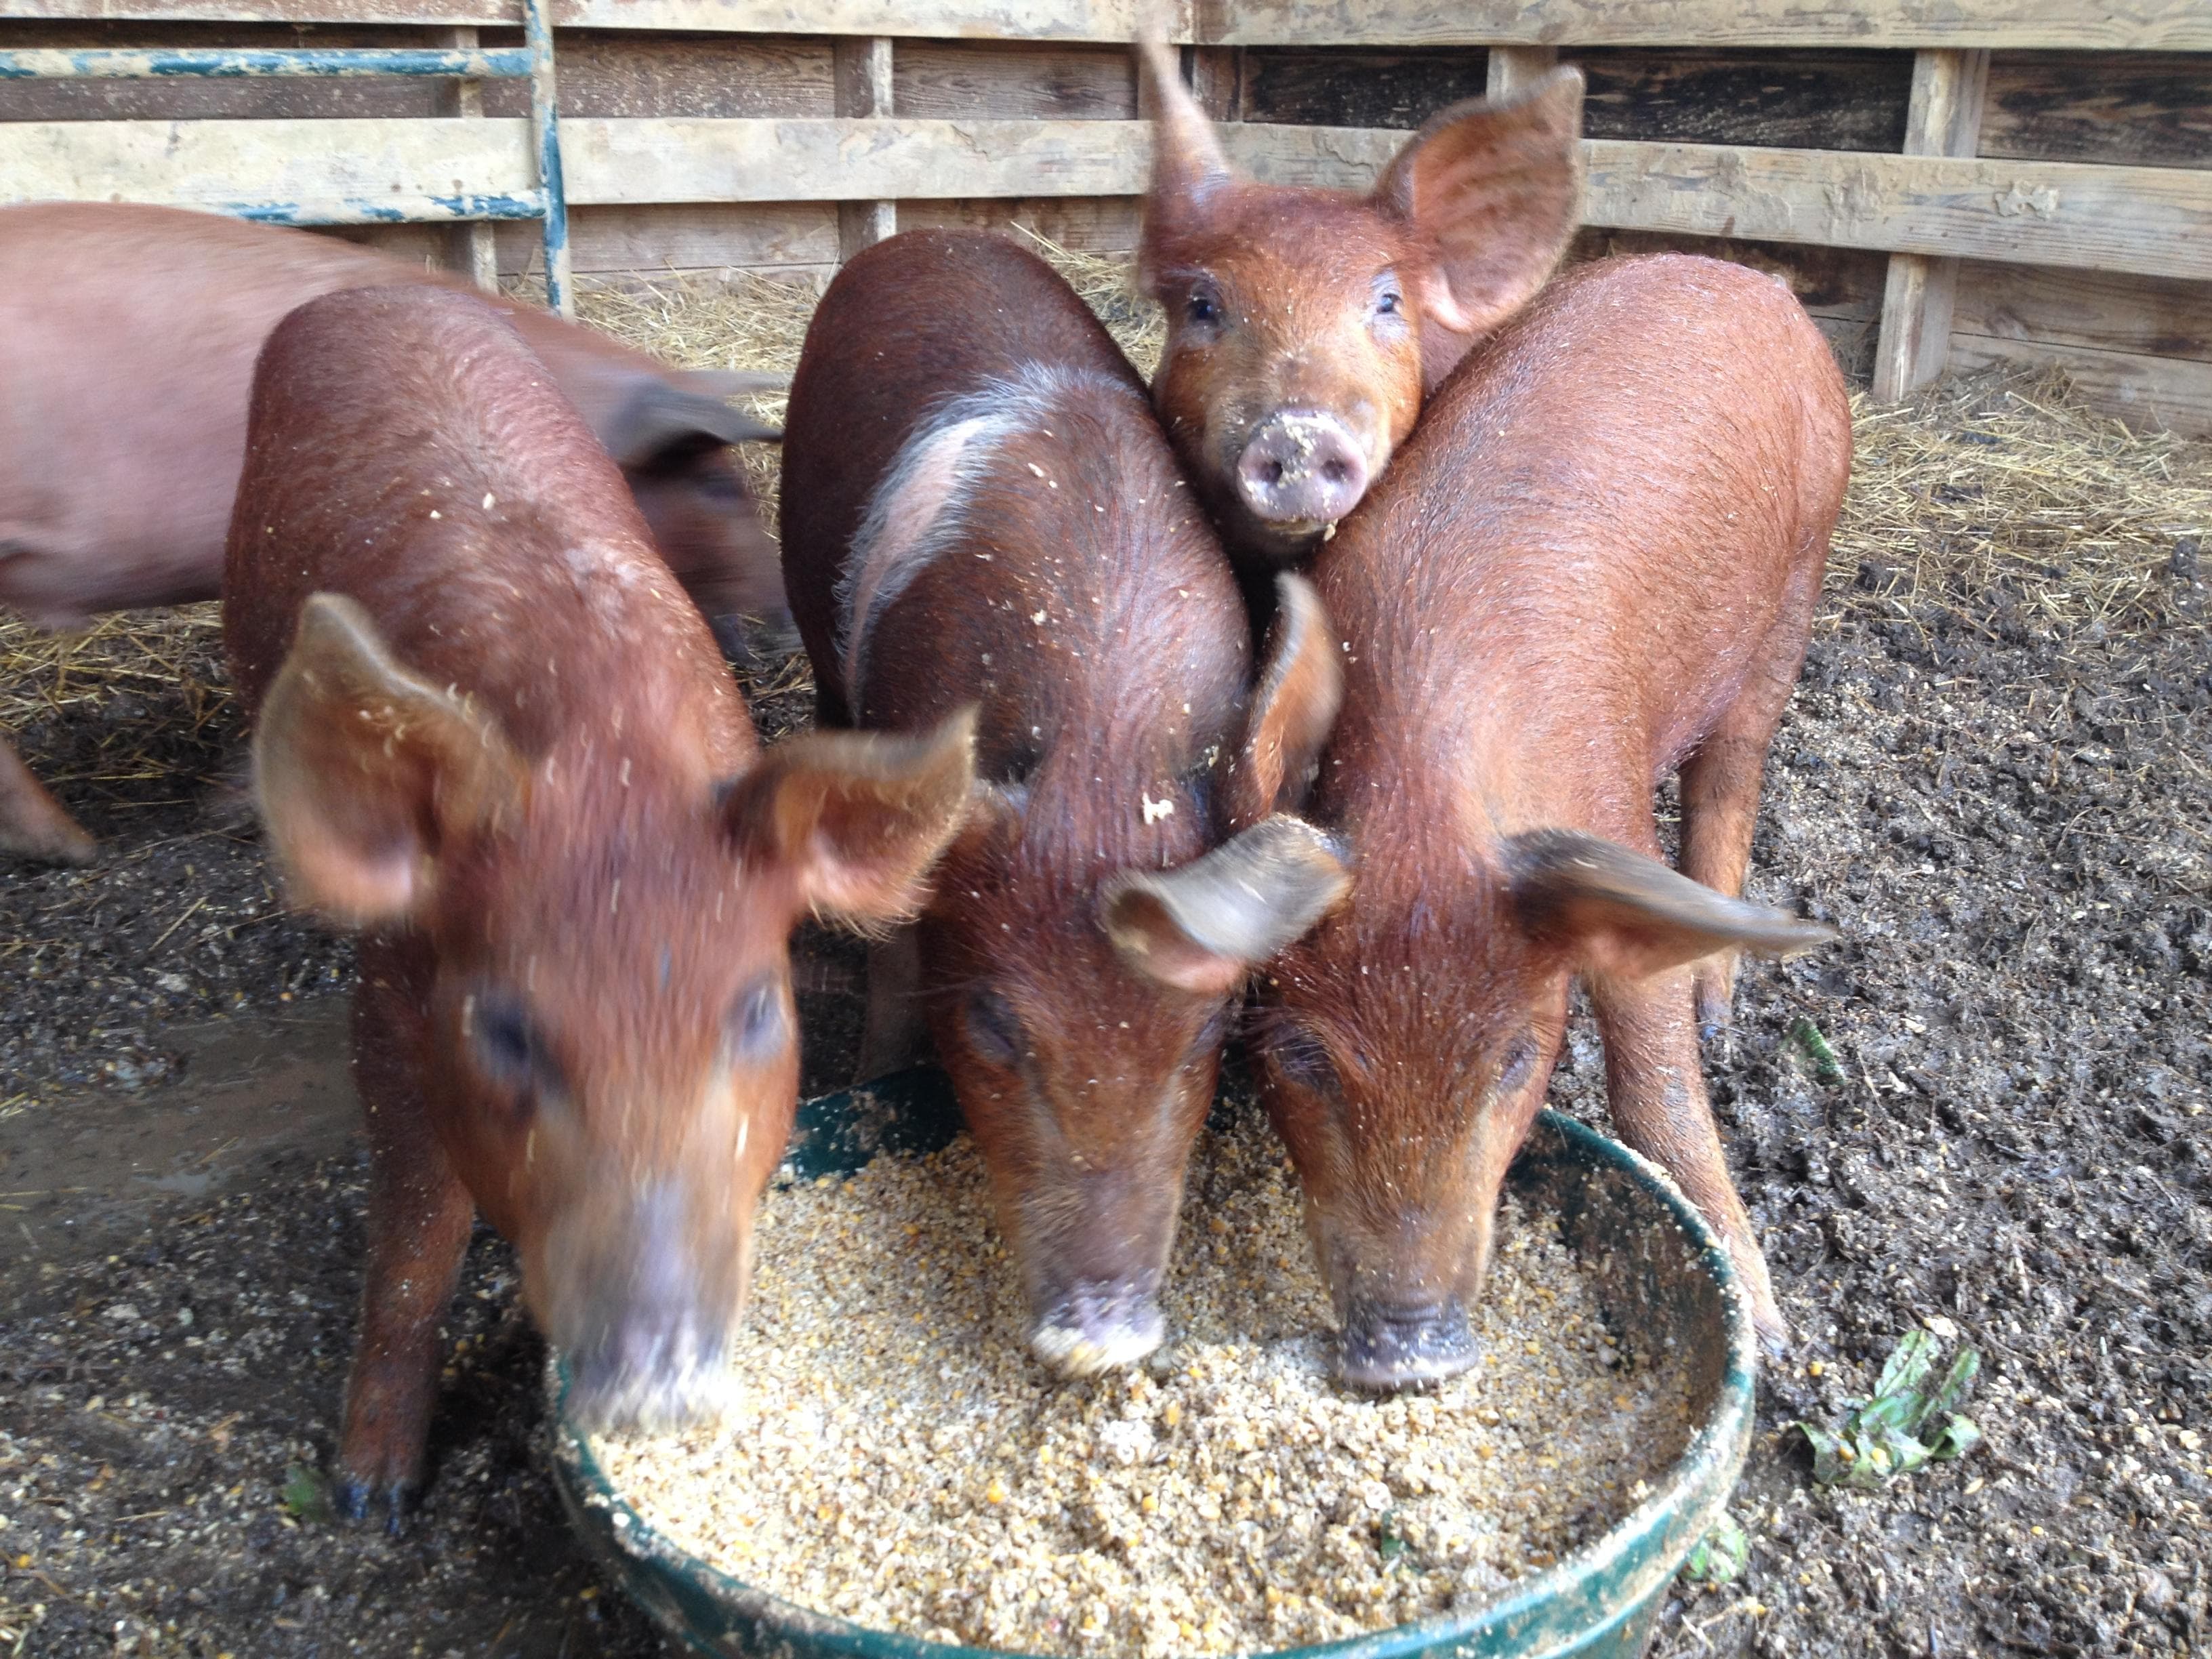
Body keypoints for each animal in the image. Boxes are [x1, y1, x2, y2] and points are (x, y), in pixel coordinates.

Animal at [224, 283, 975, 1525]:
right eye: (504, 1029)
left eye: (757, 1013)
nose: (656, 1389)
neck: (608, 761)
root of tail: (373, 289)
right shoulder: (391, 982)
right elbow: (416, 1228)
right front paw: (371, 1496)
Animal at [1244, 254, 1849, 1382]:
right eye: (1300, 1057)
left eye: (1518, 1061)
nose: (1409, 1356)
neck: (1427, 781)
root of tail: (1755, 279)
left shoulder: (1607, 817)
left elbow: (1656, 1074)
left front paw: (1772, 1336)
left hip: (1795, 590)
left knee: (1730, 784)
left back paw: (1722, 1016)